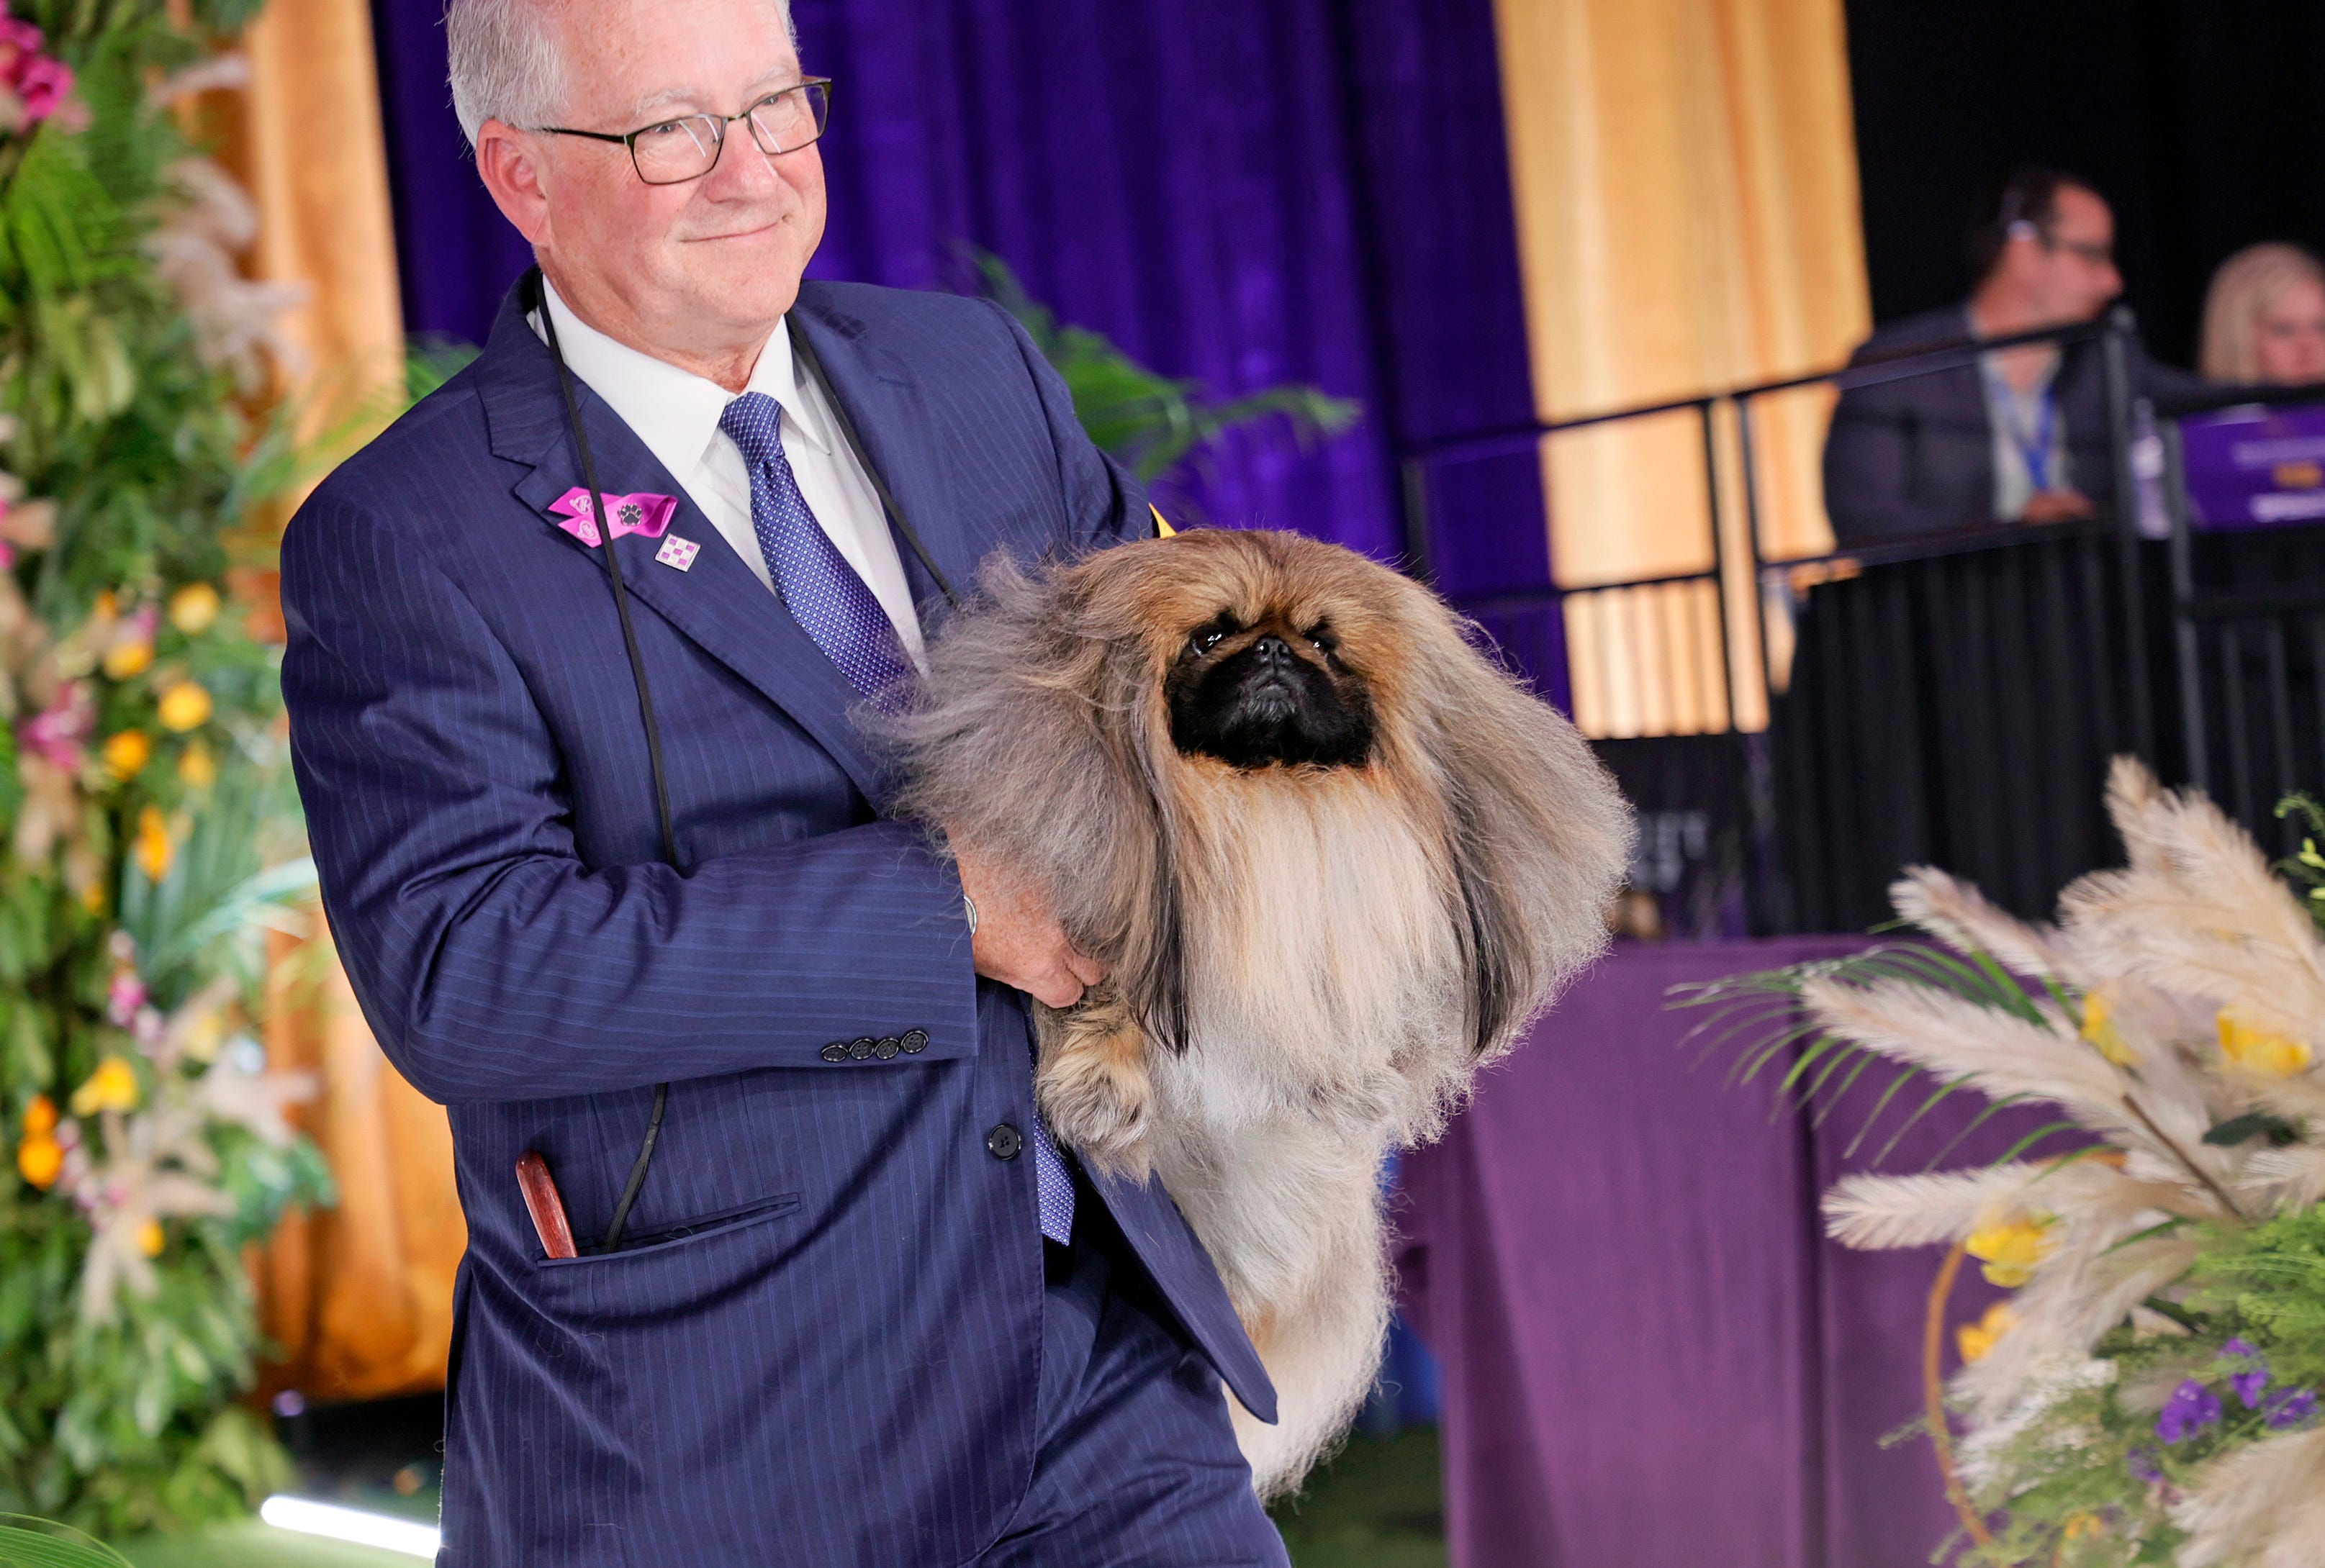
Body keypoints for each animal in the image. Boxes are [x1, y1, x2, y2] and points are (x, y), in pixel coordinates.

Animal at [878, 525, 1628, 1495]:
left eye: (1324, 643)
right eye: (1210, 637)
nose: (1273, 653)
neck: (1266, 801)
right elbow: (1105, 975)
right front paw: (1104, 1080)